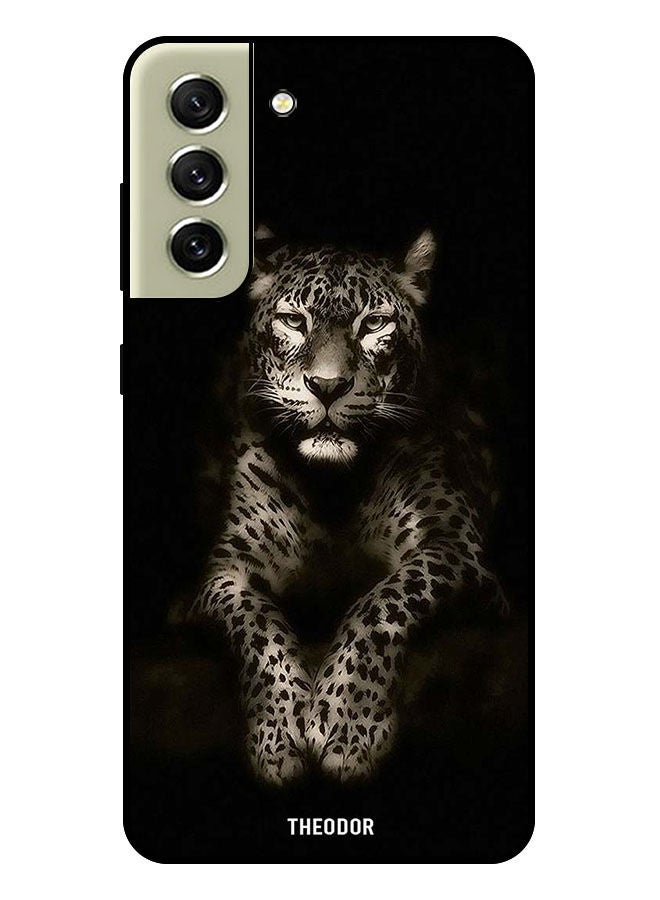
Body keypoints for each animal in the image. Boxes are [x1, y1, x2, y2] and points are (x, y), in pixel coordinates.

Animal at [189, 226, 505, 785]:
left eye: (373, 324)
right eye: (294, 321)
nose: (329, 386)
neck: (332, 488)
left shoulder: (454, 545)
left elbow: (382, 601)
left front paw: (347, 723)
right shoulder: (225, 570)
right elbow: (257, 625)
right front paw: (278, 734)